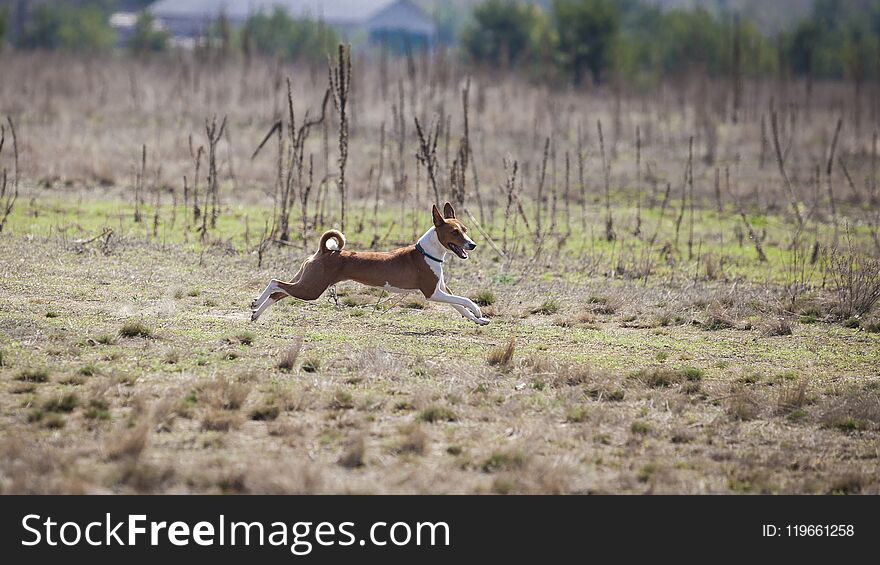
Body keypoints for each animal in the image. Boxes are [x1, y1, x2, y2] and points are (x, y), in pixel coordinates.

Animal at [251, 203, 492, 326]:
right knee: (275, 282)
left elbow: (459, 306)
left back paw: (256, 312)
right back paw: (256, 303)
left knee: (279, 292)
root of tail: (325, 250)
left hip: (307, 283)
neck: (428, 253)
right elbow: (465, 300)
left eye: (465, 230)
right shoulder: (433, 293)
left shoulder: (442, 290)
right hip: (311, 289)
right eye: (455, 232)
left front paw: (478, 320)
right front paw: (478, 310)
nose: (472, 245)